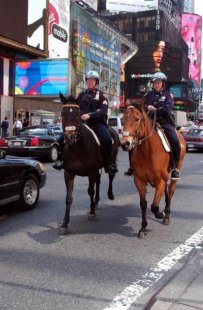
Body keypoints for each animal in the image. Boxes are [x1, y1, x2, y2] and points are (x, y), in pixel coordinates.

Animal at [58, 93, 119, 234]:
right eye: (63, 114)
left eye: (77, 114)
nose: (69, 138)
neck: (77, 148)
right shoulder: (68, 173)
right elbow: (68, 198)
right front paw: (64, 223)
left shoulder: (91, 171)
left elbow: (90, 191)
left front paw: (91, 213)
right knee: (99, 180)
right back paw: (96, 202)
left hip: (111, 161)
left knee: (111, 176)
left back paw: (109, 195)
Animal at [120, 104, 186, 237]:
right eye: (123, 120)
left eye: (137, 119)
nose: (125, 144)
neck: (147, 152)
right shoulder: (139, 180)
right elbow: (144, 204)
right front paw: (143, 228)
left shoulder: (160, 180)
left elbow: (154, 206)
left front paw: (160, 214)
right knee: (166, 192)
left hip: (175, 171)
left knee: (171, 191)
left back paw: (166, 215)